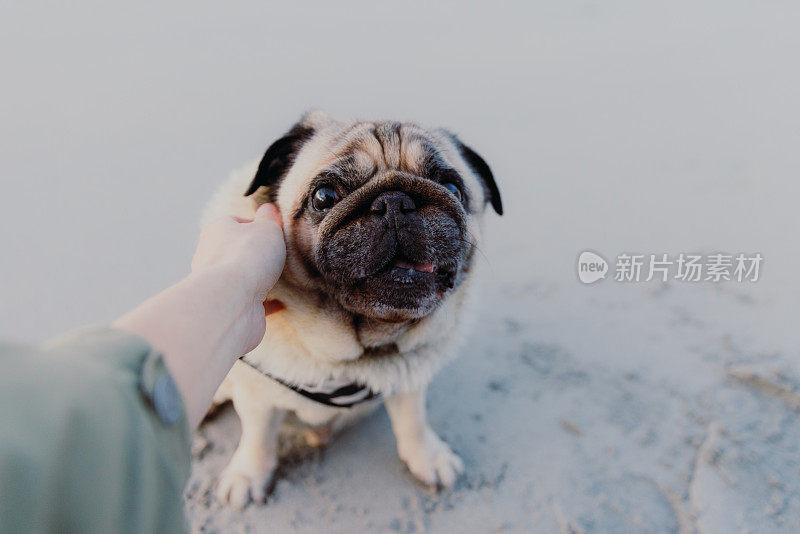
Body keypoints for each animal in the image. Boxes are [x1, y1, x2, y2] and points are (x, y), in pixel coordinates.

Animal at [202, 111, 500, 508]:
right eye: (324, 197)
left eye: (452, 188)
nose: (394, 202)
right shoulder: (257, 396)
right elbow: (258, 437)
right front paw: (248, 476)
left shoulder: (409, 376)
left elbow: (413, 420)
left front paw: (427, 457)